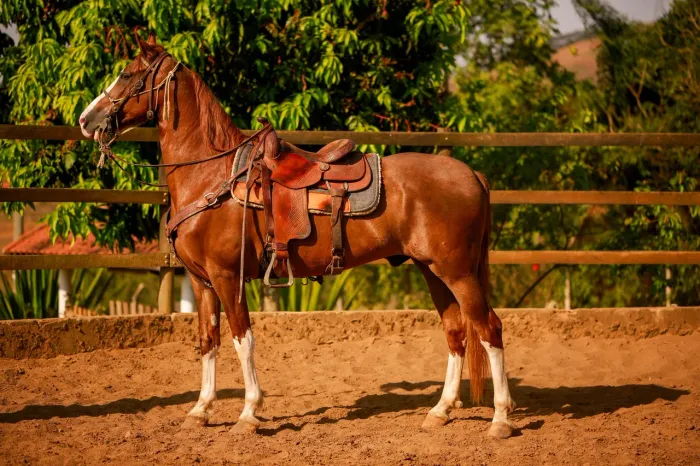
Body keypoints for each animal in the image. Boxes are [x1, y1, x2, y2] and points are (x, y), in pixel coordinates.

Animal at [78, 34, 516, 438]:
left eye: (128, 75)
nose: (86, 119)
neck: (213, 176)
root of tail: (471, 175)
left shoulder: (227, 277)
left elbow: (242, 339)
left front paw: (249, 413)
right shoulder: (202, 282)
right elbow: (208, 340)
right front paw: (200, 410)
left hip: (458, 272)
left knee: (489, 329)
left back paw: (500, 419)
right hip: (433, 271)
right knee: (456, 332)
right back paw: (440, 411)